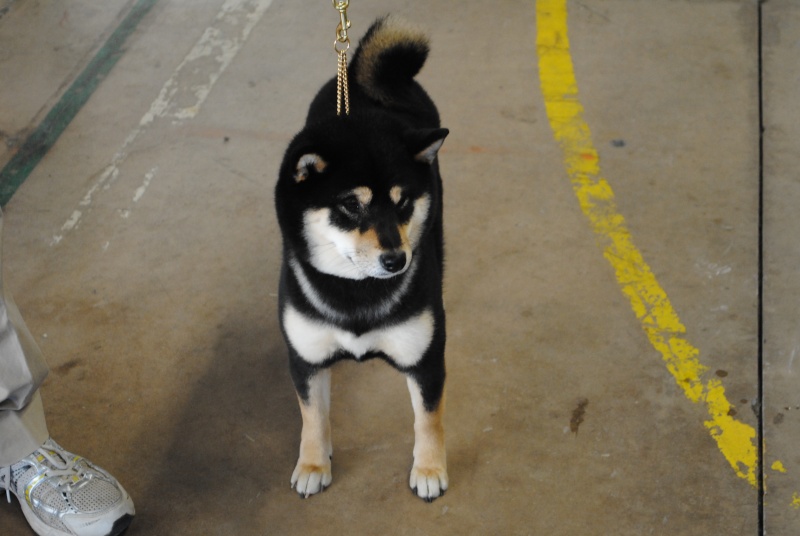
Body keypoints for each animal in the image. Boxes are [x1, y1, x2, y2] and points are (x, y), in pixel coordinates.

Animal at [276, 16, 450, 502]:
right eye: (351, 205)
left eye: (403, 202)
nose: (397, 260)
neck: (355, 293)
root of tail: (356, 73)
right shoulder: (306, 357)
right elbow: (312, 417)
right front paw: (313, 463)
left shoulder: (426, 359)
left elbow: (428, 419)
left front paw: (430, 469)